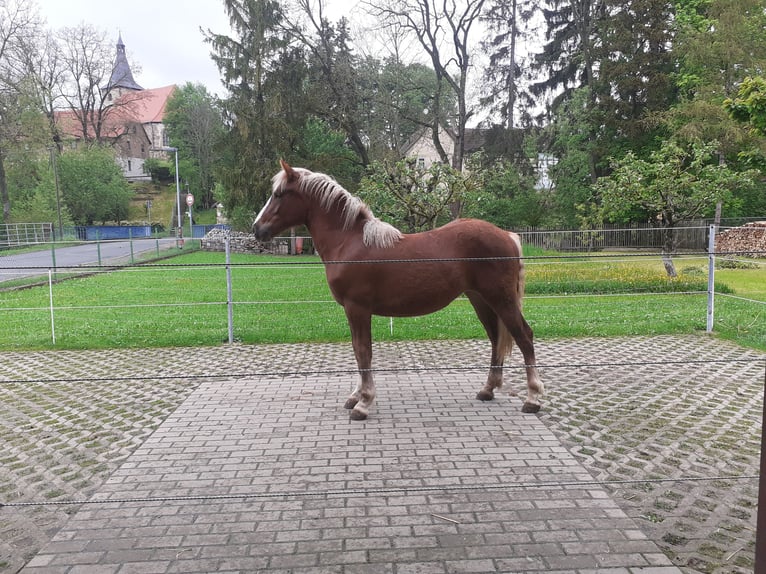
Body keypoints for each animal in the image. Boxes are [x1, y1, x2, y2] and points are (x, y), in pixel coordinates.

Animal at [255, 162, 544, 424]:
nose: (257, 229)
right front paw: (356, 396)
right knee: (496, 337)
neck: (349, 241)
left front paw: (363, 403)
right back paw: (487, 389)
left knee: (524, 336)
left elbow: (363, 351)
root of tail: (507, 235)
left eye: (279, 194)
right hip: (481, 299)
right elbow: (358, 350)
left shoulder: (357, 308)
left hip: (501, 299)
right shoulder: (352, 311)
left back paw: (532, 399)